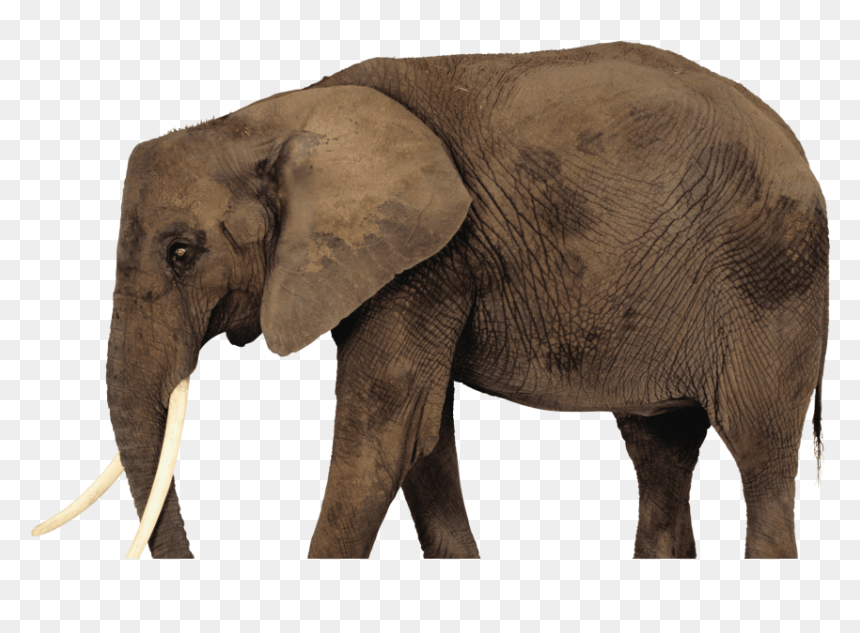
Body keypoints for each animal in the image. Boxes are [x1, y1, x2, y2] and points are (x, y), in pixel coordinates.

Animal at [33, 41, 829, 559]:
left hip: (772, 282)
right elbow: (423, 436)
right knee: (660, 451)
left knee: (760, 457)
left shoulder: (431, 257)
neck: (275, 119)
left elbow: (384, 431)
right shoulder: (408, 265)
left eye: (180, 252)